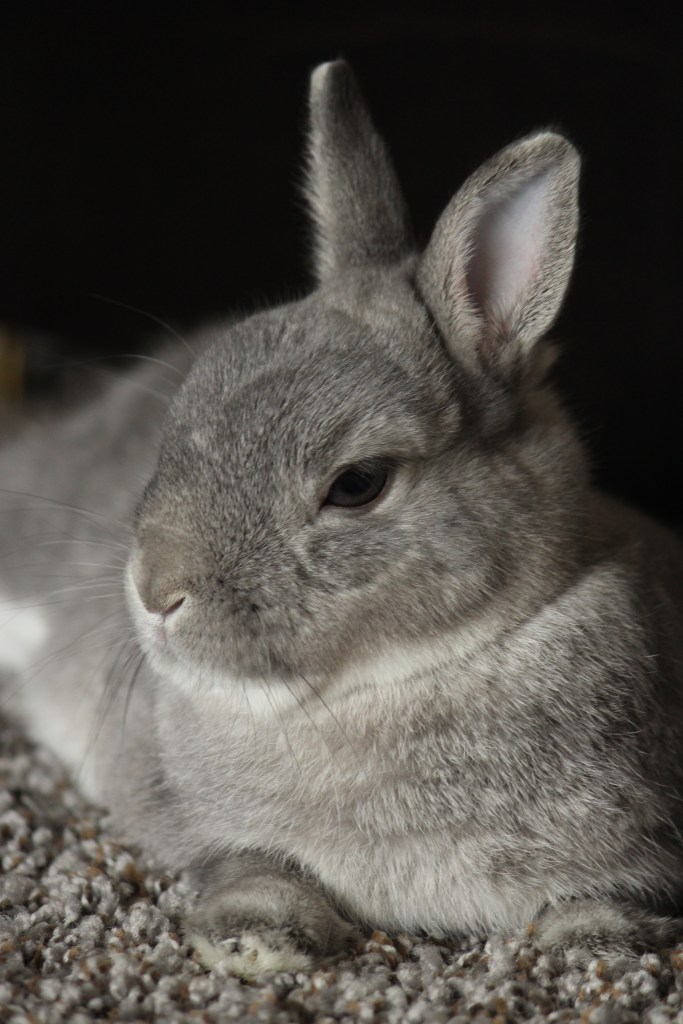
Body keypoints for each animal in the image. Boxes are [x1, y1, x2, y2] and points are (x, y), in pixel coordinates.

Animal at [2, 58, 683, 979]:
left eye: (357, 485)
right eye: (185, 406)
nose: (154, 590)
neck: (399, 678)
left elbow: (610, 896)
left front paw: (595, 944)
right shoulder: (200, 823)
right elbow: (251, 865)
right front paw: (258, 940)